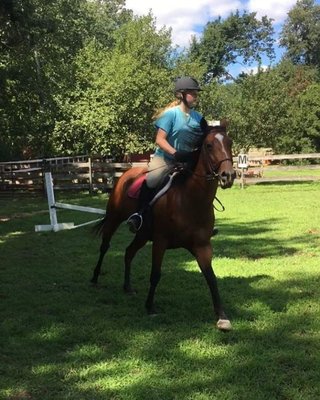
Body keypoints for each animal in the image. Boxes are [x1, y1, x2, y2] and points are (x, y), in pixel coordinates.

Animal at [91, 126, 236, 332]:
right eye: (209, 145)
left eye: (229, 143)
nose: (228, 176)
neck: (190, 200)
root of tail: (126, 174)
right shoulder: (160, 242)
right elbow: (155, 274)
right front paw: (150, 306)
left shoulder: (202, 246)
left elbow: (211, 277)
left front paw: (222, 317)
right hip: (114, 219)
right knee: (104, 247)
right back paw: (95, 278)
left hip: (142, 235)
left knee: (128, 252)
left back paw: (127, 287)